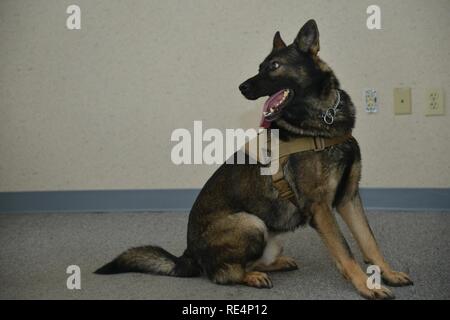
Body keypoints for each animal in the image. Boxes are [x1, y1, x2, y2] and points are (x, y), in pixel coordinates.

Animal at [96, 20, 414, 300]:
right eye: (260, 67)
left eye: (274, 66)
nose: (242, 87)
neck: (323, 120)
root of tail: (187, 255)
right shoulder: (321, 208)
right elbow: (346, 252)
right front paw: (367, 287)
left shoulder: (348, 198)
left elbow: (369, 242)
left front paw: (387, 274)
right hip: (251, 223)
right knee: (223, 273)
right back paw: (251, 277)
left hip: (272, 237)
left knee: (250, 261)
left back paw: (275, 264)